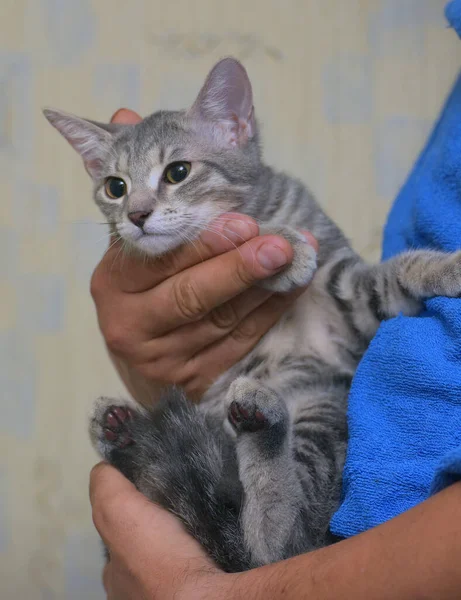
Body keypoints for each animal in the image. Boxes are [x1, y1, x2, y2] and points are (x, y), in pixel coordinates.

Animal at [44, 59, 461, 572]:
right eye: (115, 187)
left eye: (177, 172)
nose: (137, 215)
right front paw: (282, 247)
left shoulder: (353, 303)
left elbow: (402, 271)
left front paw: (449, 266)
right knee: (273, 543)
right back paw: (124, 428)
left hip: (325, 405)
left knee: (283, 541)